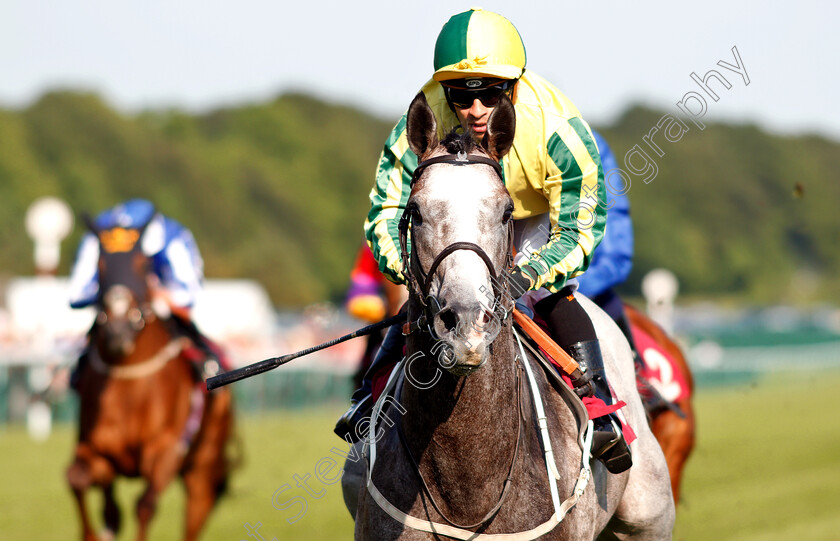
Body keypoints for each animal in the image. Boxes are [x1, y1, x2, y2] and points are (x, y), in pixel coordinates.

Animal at [66, 216, 235, 540]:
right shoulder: (96, 450)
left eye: (142, 263)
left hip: (202, 469)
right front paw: (94, 532)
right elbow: (76, 480)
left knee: (195, 512)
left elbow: (145, 505)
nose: (118, 331)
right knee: (109, 506)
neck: (127, 384)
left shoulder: (167, 450)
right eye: (100, 263)